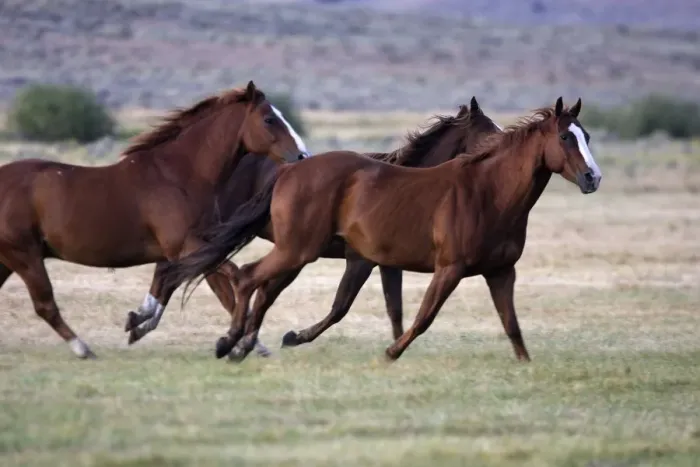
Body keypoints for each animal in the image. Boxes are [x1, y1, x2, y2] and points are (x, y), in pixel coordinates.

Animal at [0, 81, 306, 359]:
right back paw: (82, 349)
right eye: (269, 119)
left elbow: (169, 286)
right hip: (25, 255)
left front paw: (137, 321)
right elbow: (228, 283)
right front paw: (243, 344)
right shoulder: (188, 246)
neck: (179, 176)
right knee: (45, 305)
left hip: (10, 259)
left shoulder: (186, 250)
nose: (302, 155)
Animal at [164, 97, 602, 363]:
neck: (488, 193)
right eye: (566, 136)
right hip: (296, 251)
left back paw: (240, 343)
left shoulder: (499, 272)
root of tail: (290, 169)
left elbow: (511, 325)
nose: (593, 178)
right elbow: (420, 316)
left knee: (258, 286)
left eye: (587, 135)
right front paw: (392, 352)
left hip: (297, 253)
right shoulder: (447, 268)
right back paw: (231, 343)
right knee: (247, 278)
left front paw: (526, 366)